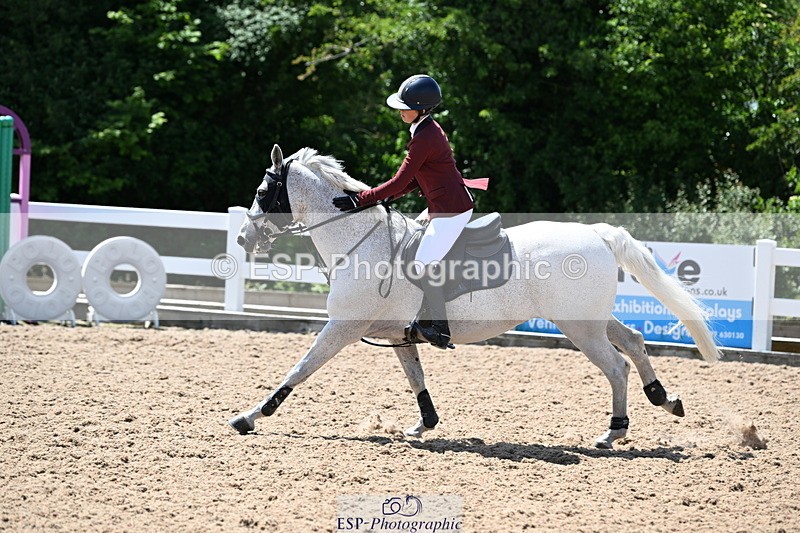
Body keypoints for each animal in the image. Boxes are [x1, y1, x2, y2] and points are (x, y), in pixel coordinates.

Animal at [228, 144, 720, 449]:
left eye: (262, 192)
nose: (244, 239)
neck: (360, 241)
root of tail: (597, 233)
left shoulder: (342, 327)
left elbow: (298, 370)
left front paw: (250, 416)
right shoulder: (398, 335)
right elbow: (416, 380)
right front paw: (423, 426)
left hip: (580, 329)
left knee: (616, 367)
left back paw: (613, 433)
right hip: (589, 320)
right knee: (634, 342)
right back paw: (665, 398)